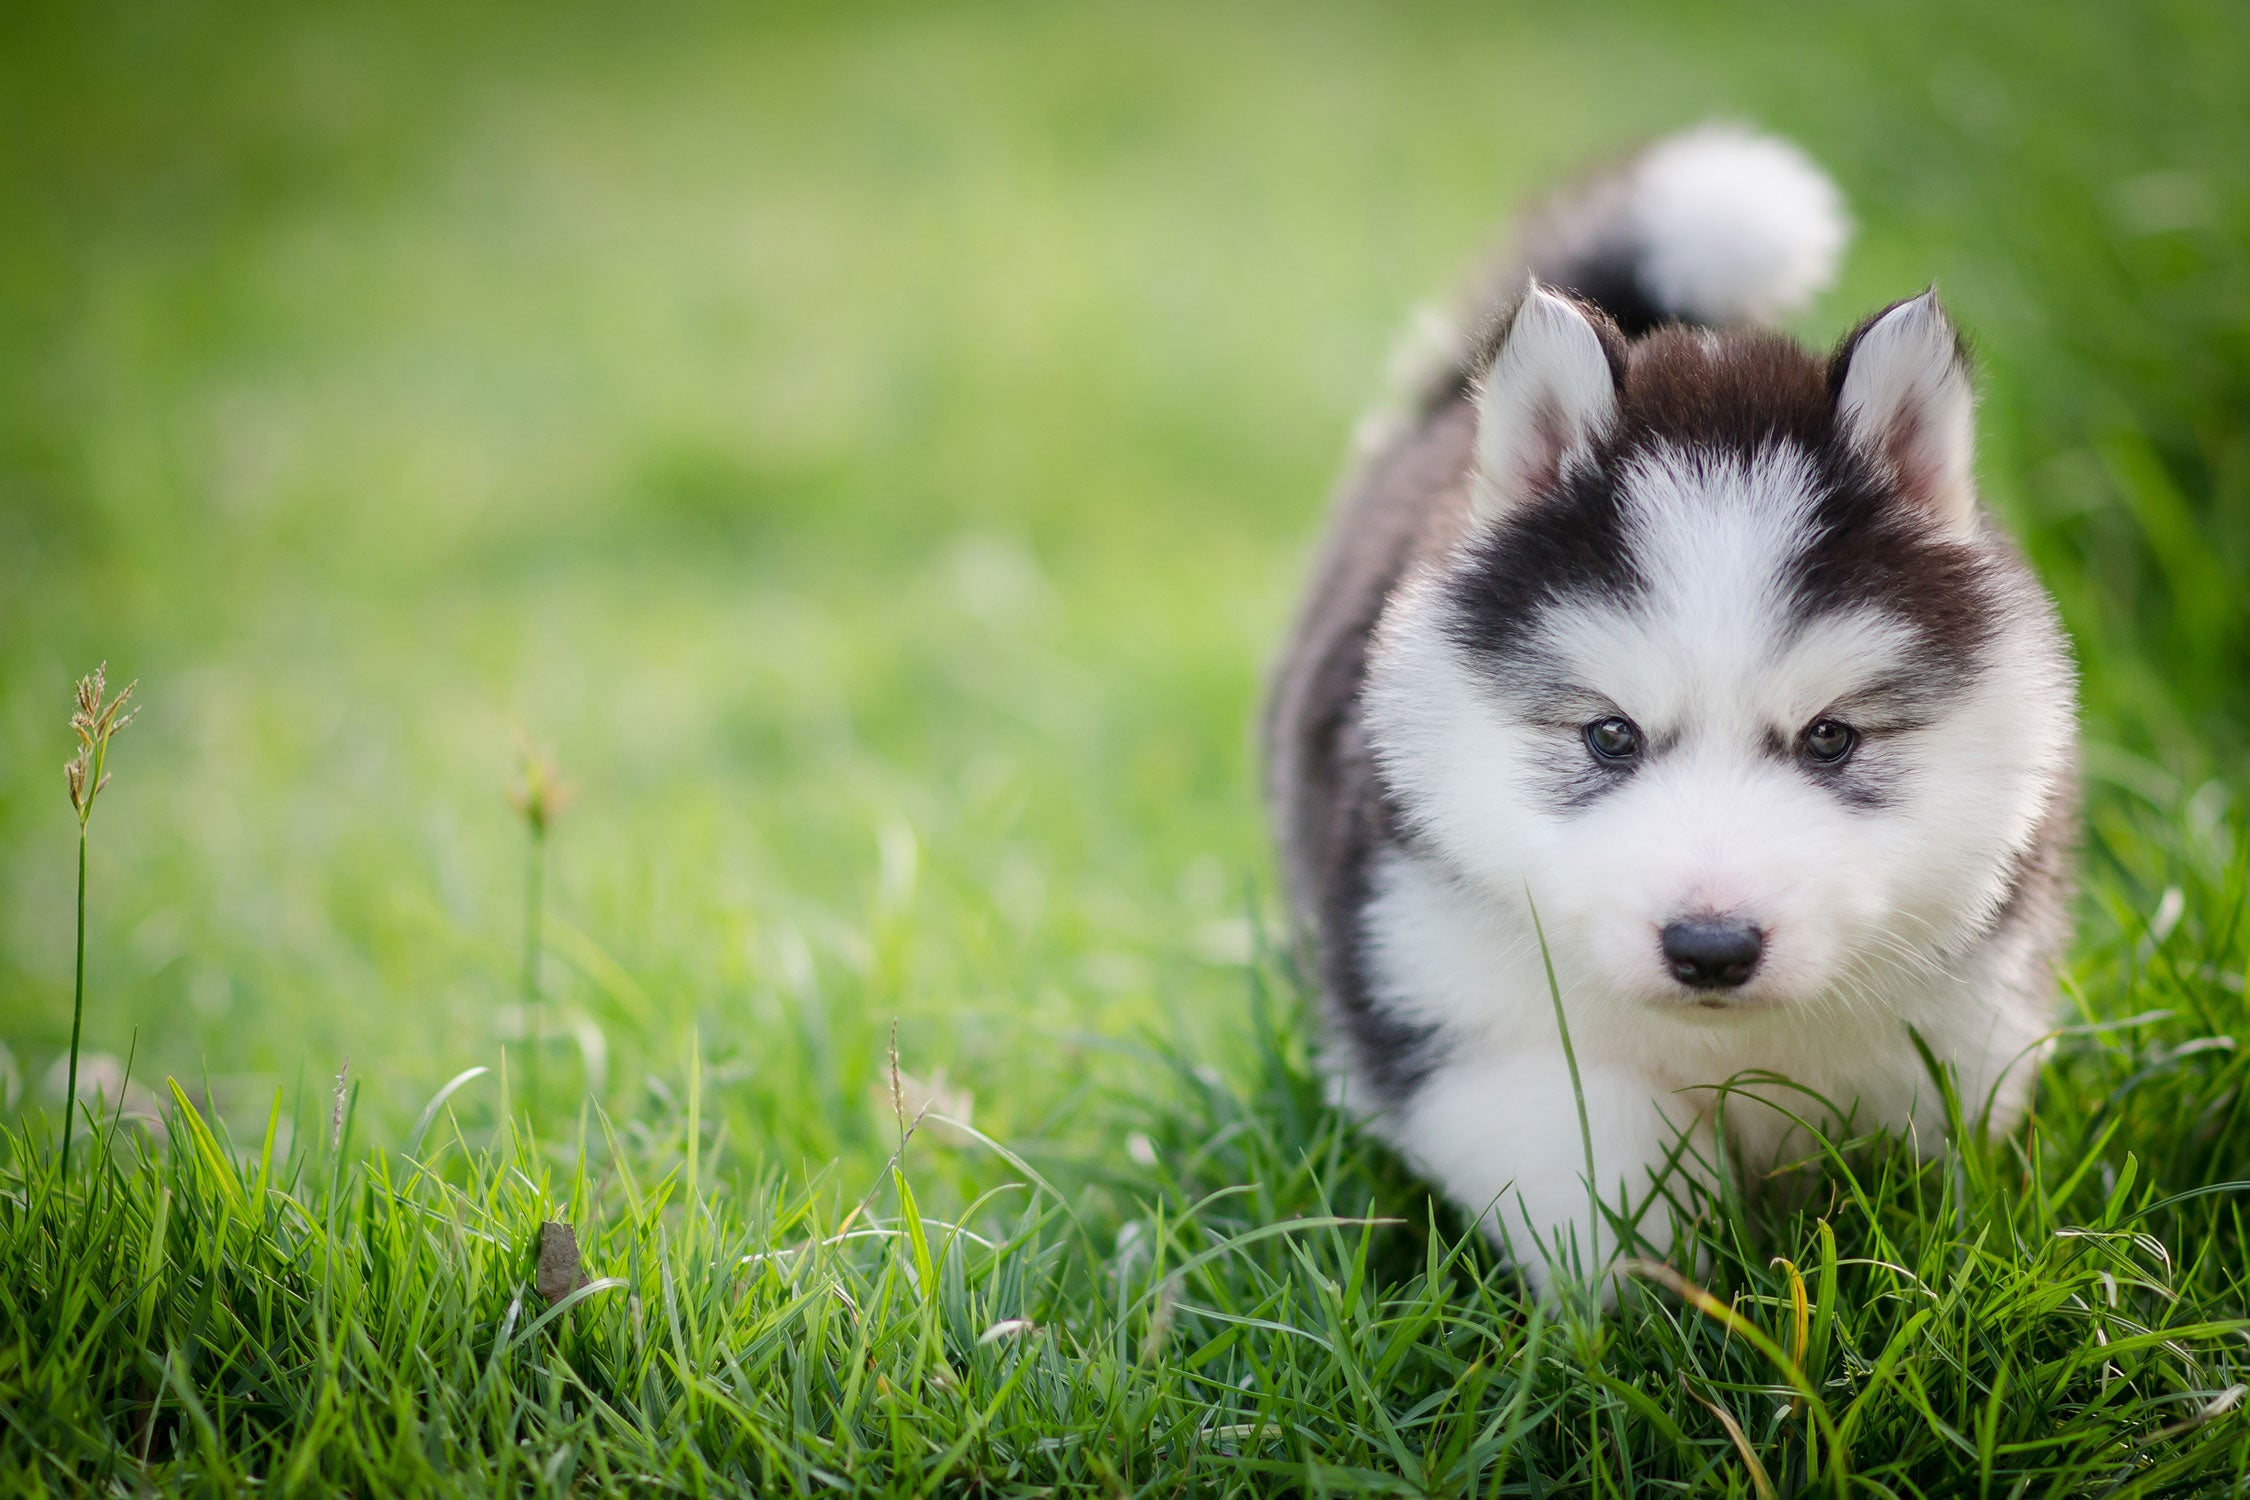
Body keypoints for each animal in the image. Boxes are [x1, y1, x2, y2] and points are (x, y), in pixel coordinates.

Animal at [1269, 129, 2070, 1295]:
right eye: (1611, 736)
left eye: (1831, 737)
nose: (1710, 948)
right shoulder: (1458, 1006)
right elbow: (1607, 1171)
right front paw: (1660, 1312)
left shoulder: (1961, 1025)